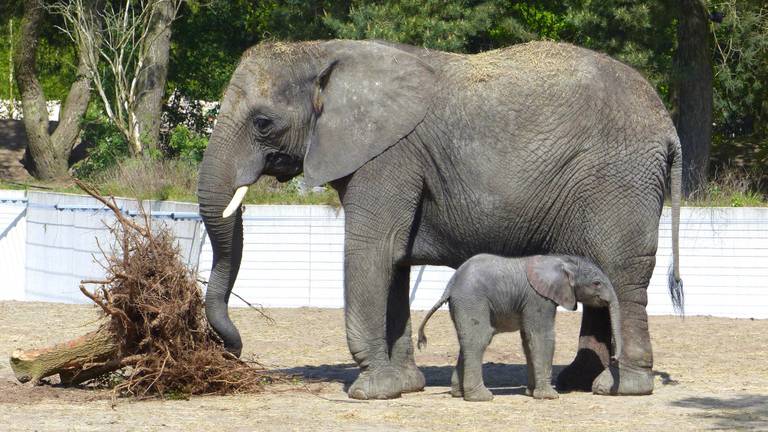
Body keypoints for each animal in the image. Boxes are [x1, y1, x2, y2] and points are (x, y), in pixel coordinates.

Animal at [416, 253, 620, 402]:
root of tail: (450, 286)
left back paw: (459, 394)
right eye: (596, 283)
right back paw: (482, 397)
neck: (561, 260)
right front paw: (549, 396)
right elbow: (541, 337)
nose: (614, 358)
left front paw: (531, 393)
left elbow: (528, 340)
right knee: (479, 339)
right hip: (472, 300)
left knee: (467, 340)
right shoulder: (538, 298)